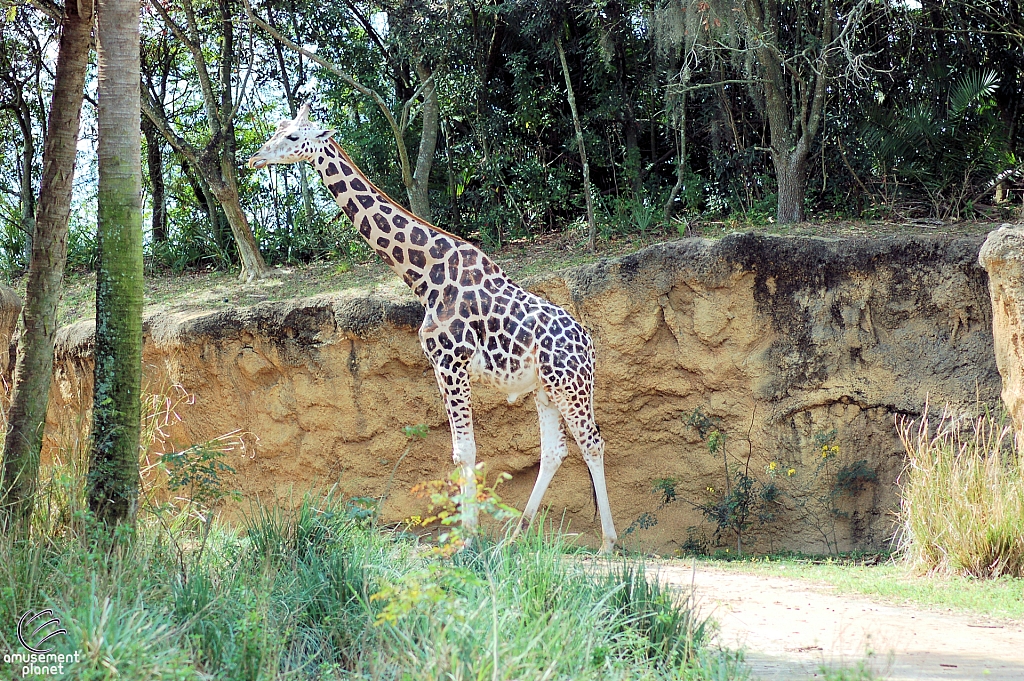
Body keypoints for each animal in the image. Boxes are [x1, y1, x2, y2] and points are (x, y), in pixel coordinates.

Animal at [247, 104, 614, 552]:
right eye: (278, 129)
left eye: (295, 138)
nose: (256, 158)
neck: (424, 275)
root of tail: (590, 344)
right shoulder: (443, 365)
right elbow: (464, 451)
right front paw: (473, 536)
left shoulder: (449, 361)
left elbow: (465, 451)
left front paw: (467, 539)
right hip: (544, 388)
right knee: (555, 450)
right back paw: (515, 536)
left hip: (570, 385)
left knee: (591, 442)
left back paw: (608, 542)